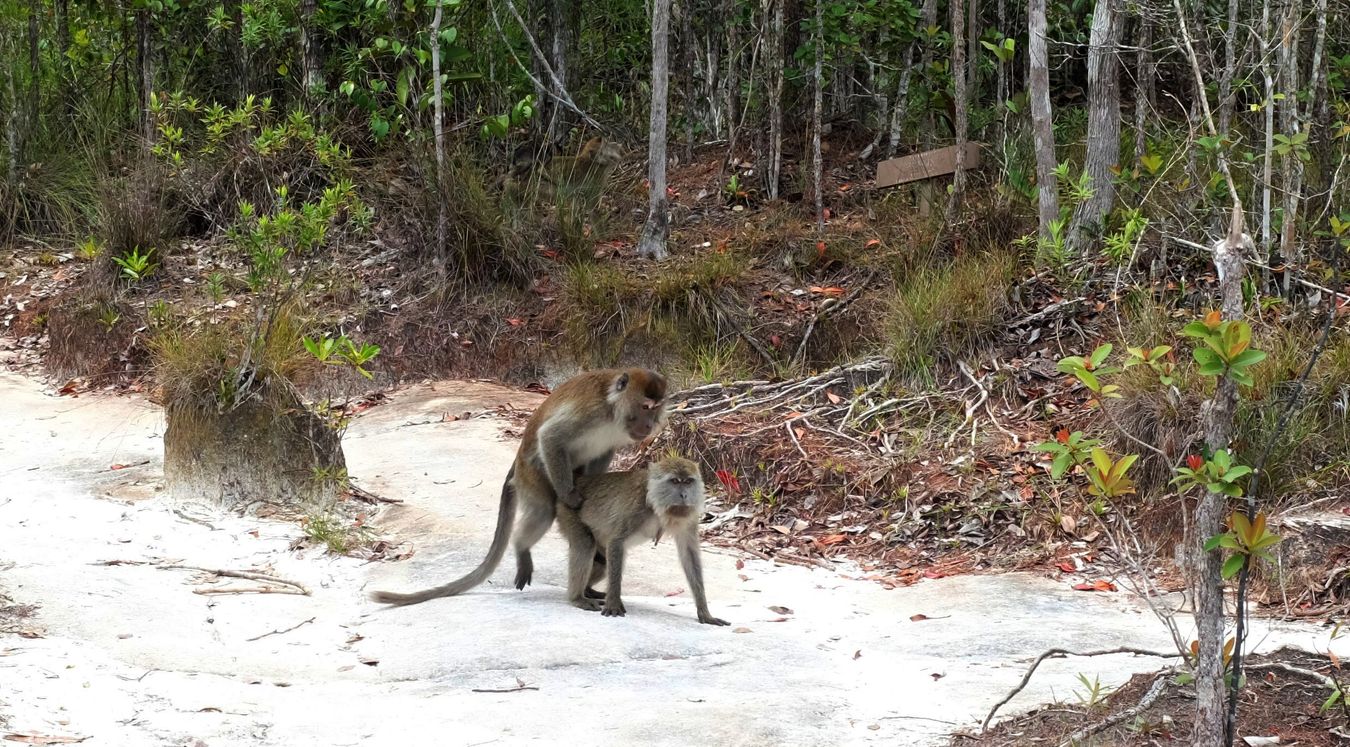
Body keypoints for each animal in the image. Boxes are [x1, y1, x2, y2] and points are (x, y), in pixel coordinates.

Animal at [369, 367, 669, 605]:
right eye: (645, 407)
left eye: (656, 409)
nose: (649, 426)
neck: (613, 408)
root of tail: (517, 462)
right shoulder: (591, 412)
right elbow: (551, 437)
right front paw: (570, 496)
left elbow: (602, 454)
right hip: (533, 474)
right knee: (544, 509)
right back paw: (522, 546)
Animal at [556, 453, 734, 624]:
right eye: (675, 481)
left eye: (688, 482)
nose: (684, 495)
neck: (658, 505)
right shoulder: (636, 508)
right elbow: (616, 542)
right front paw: (613, 602)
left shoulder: (689, 517)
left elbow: (689, 555)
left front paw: (704, 612)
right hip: (567, 511)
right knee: (585, 545)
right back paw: (577, 598)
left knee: (603, 562)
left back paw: (588, 591)